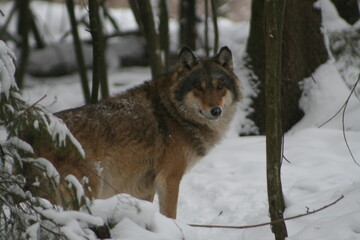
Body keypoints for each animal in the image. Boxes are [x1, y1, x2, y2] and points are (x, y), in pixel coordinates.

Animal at [28, 46, 242, 218]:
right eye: (198, 88)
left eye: (220, 87)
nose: (216, 111)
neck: (174, 112)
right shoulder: (169, 179)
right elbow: (170, 215)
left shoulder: (145, 189)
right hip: (88, 189)